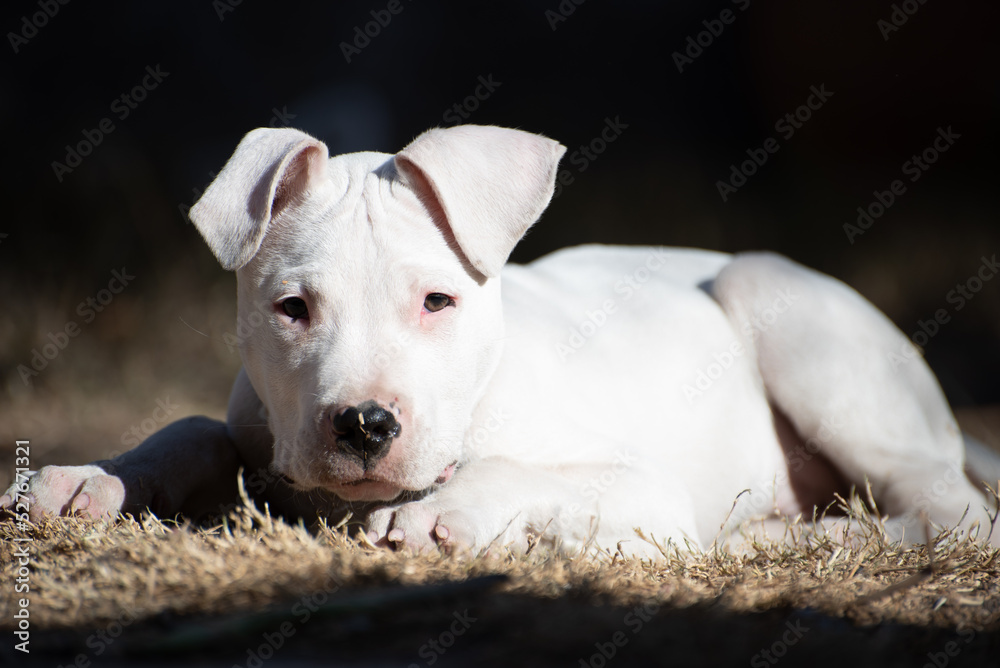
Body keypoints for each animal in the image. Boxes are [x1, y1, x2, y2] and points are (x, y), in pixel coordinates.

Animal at [1, 126, 1000, 560]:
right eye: (292, 309)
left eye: (437, 301)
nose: (363, 424)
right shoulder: (263, 431)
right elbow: (195, 431)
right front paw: (89, 480)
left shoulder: (647, 490)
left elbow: (519, 472)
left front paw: (442, 513)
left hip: (784, 312)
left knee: (952, 513)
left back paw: (798, 535)